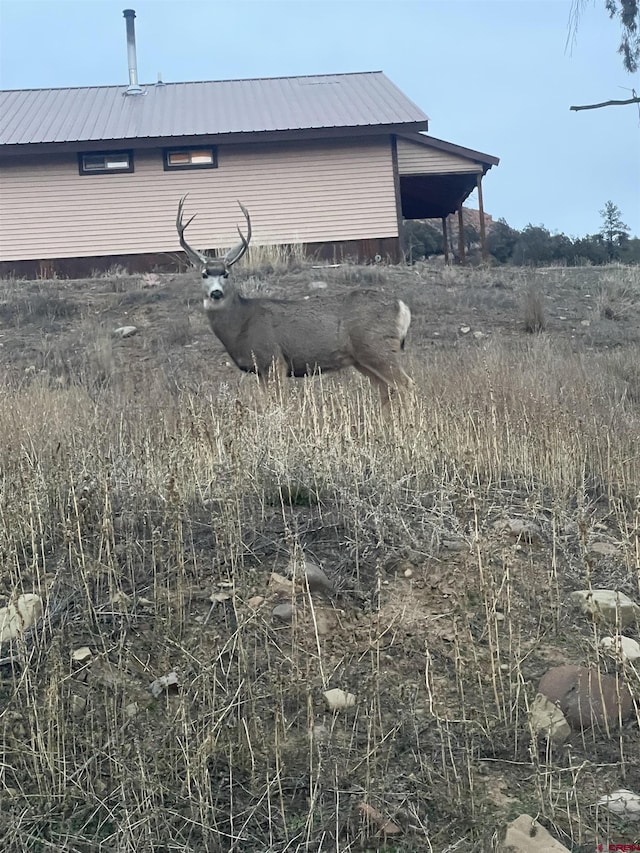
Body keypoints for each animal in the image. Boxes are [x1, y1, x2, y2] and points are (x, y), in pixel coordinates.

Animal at [176, 196, 416, 402]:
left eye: (226, 273)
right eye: (204, 274)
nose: (216, 293)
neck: (241, 322)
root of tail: (402, 306)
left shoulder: (273, 359)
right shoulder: (260, 370)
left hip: (377, 346)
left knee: (406, 385)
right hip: (362, 358)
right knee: (387, 391)